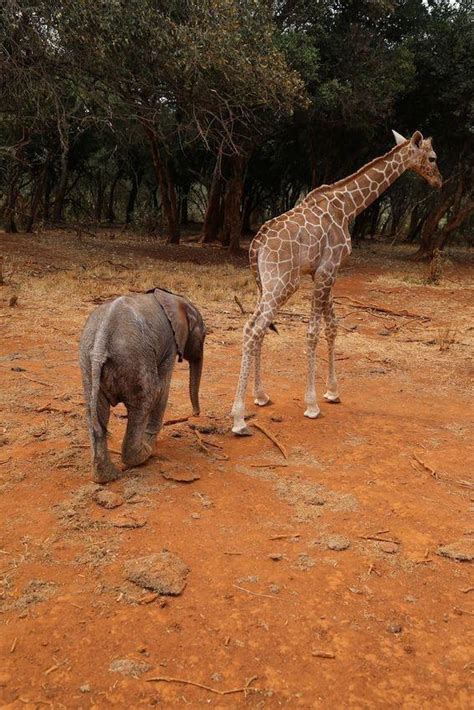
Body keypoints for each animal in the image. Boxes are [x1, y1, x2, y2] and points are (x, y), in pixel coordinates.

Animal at [78, 290, 205, 484]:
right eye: (204, 336)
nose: (195, 414)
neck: (175, 299)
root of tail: (101, 340)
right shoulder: (170, 344)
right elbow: (163, 389)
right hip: (135, 360)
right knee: (147, 399)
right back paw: (145, 453)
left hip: (88, 364)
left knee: (96, 413)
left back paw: (107, 477)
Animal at [231, 131, 442, 436]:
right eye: (433, 157)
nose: (439, 181)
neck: (349, 205)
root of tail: (256, 243)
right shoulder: (328, 269)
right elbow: (313, 332)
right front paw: (312, 405)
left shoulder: (323, 272)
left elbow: (332, 326)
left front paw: (332, 392)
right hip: (283, 283)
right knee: (254, 330)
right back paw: (238, 419)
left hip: (268, 284)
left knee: (253, 327)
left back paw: (260, 396)